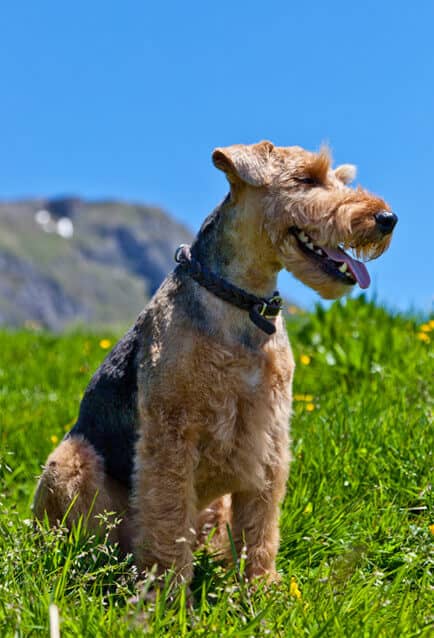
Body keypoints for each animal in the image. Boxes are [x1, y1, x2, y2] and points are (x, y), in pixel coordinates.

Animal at [32, 142, 396, 588]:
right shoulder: (171, 433)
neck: (244, 303)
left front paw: (261, 588)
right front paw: (168, 597)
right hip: (69, 463)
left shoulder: (269, 434)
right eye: (306, 178)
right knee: (100, 541)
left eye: (341, 180)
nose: (386, 218)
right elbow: (169, 518)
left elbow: (259, 527)